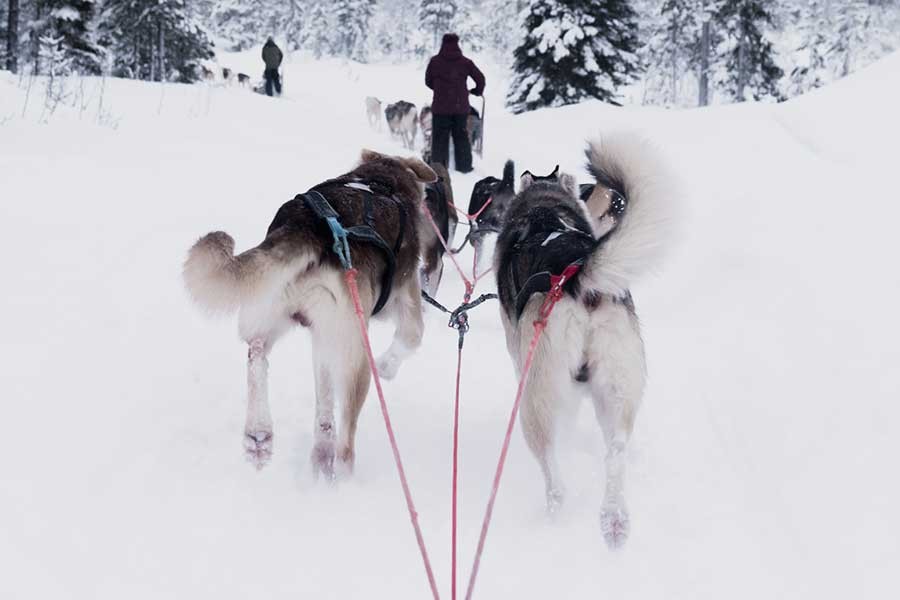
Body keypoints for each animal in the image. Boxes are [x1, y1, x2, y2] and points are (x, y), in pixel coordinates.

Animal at [183, 149, 436, 478]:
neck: (381, 178)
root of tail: (307, 229)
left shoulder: (321, 337)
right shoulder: (407, 301)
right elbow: (411, 337)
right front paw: (387, 366)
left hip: (275, 310)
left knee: (257, 356)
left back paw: (261, 435)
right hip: (355, 355)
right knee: (345, 439)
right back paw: (341, 473)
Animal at [496, 134, 680, 552]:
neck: (545, 210)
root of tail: (579, 275)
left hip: (536, 395)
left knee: (553, 473)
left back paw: (554, 512)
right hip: (616, 388)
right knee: (615, 453)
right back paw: (614, 520)